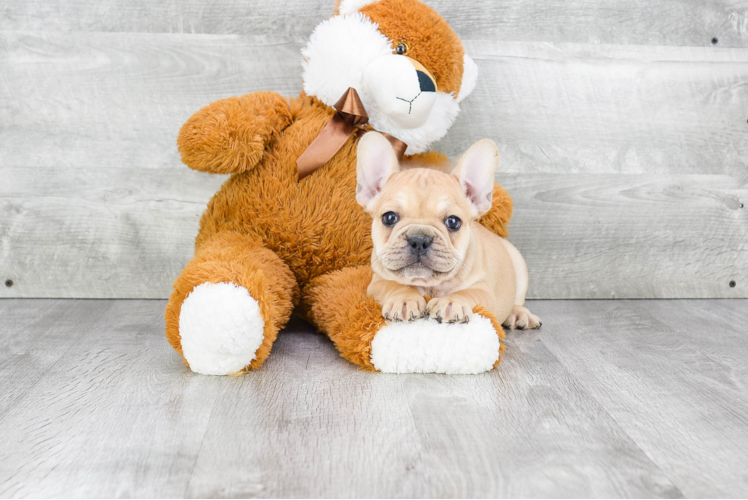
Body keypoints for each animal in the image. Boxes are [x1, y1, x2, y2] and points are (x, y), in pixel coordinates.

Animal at [354, 131, 540, 330]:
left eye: (453, 222)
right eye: (389, 218)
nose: (419, 239)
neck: (430, 284)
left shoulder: (483, 290)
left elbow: (467, 293)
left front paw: (452, 302)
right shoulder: (377, 282)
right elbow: (394, 286)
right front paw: (404, 299)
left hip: (519, 266)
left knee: (517, 300)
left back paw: (519, 314)